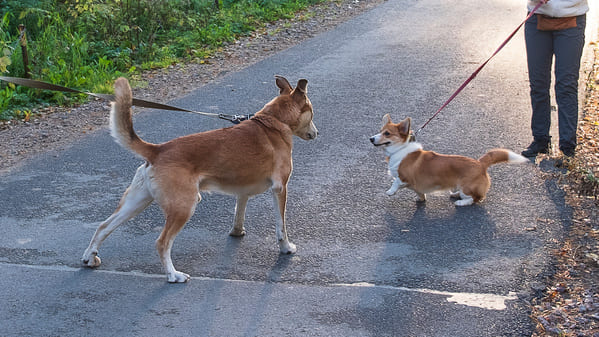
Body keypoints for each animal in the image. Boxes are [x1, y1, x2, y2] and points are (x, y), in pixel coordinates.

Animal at [83, 75, 318, 280]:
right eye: (312, 113)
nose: (316, 134)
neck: (274, 121)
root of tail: (158, 150)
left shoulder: (242, 190)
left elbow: (239, 213)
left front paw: (237, 232)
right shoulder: (280, 189)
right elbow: (281, 226)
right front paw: (286, 248)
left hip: (136, 202)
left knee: (104, 226)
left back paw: (89, 257)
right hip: (184, 207)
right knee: (161, 243)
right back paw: (173, 275)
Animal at [370, 115, 528, 205]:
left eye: (387, 133)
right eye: (380, 131)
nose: (371, 138)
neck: (400, 150)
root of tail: (480, 163)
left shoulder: (403, 177)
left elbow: (395, 182)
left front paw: (390, 191)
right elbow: (419, 192)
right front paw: (421, 199)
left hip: (467, 187)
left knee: (475, 199)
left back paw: (461, 203)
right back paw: (455, 194)